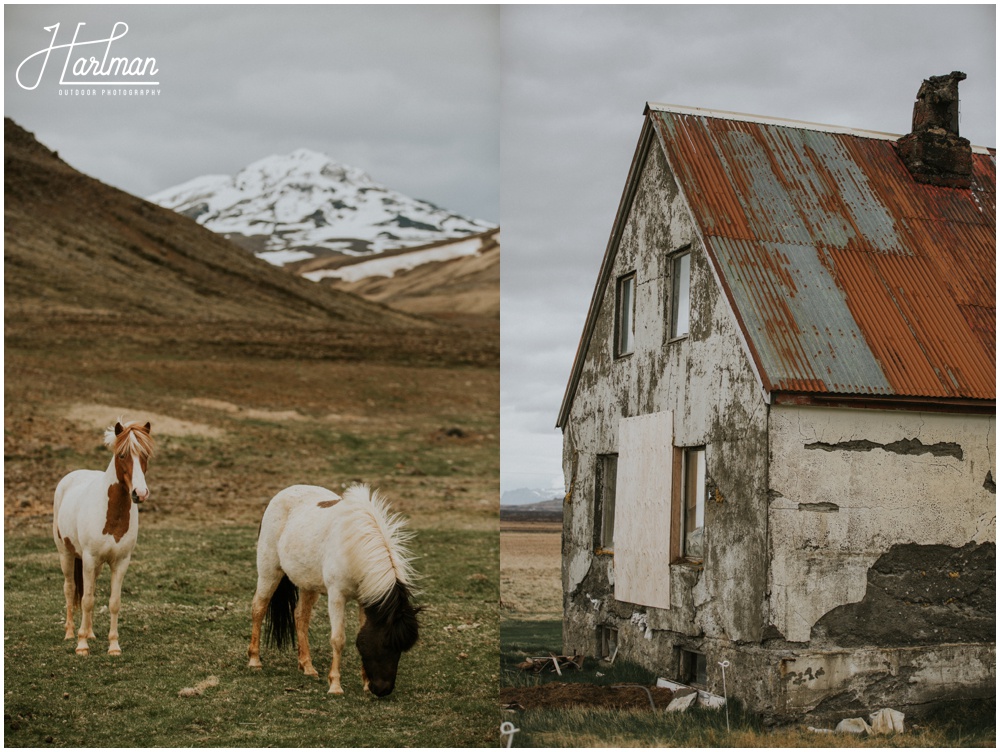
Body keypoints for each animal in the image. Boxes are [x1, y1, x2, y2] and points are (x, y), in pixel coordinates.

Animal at [52, 420, 153, 656]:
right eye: (122, 455)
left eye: (145, 455)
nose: (140, 493)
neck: (113, 516)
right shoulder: (88, 559)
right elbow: (86, 600)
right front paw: (81, 646)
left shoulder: (121, 562)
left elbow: (113, 602)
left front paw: (113, 646)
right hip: (66, 554)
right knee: (70, 589)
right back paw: (70, 632)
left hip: (94, 565)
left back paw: (89, 632)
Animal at [252, 484, 424, 696]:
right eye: (386, 643)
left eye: (401, 649)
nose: (382, 690)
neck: (355, 546)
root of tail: (282, 494)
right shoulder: (336, 596)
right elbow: (338, 639)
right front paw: (335, 686)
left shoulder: (364, 599)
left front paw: (365, 684)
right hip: (269, 572)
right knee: (259, 608)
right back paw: (254, 661)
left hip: (307, 584)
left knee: (300, 616)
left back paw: (307, 667)